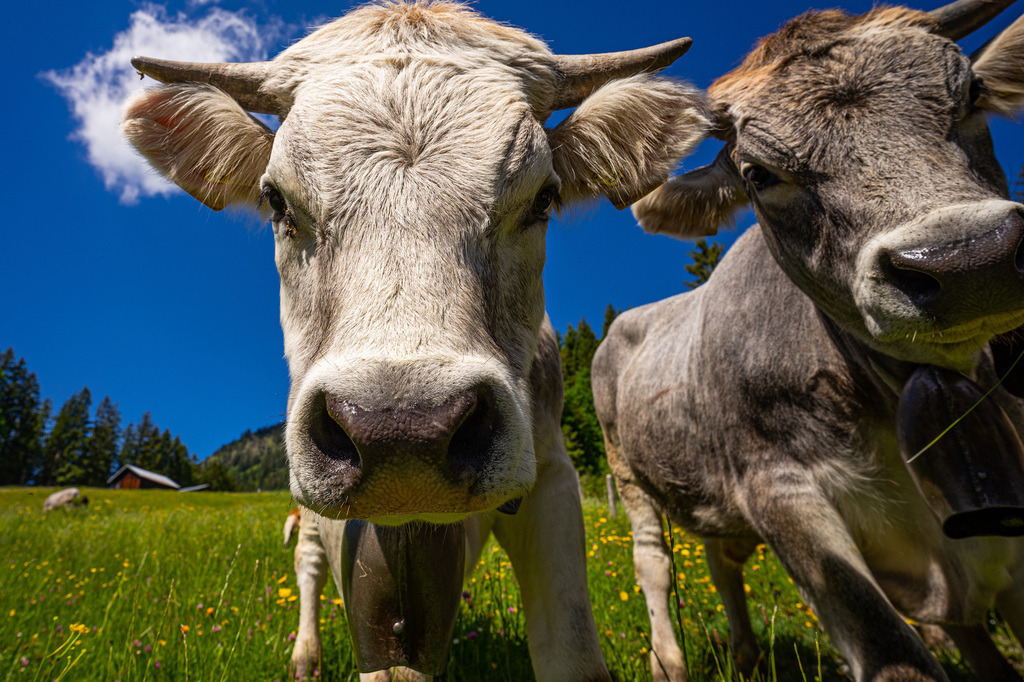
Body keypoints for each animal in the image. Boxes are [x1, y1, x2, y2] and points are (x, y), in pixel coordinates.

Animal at [120, 2, 710, 679]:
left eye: (544, 197)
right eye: (276, 201)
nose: (402, 424)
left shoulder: (552, 479)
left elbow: (569, 650)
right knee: (308, 569)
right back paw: (305, 655)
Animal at [592, 1, 1024, 681]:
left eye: (973, 97)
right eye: (759, 174)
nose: (968, 261)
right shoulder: (779, 490)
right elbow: (893, 654)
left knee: (722, 561)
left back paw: (745, 655)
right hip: (628, 473)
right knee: (653, 563)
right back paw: (669, 662)